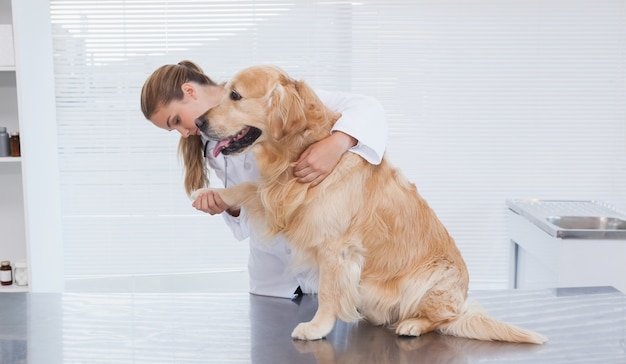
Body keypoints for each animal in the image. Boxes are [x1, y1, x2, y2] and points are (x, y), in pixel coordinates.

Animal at [190, 64, 544, 344]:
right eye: (225, 93)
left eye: (235, 96)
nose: (198, 122)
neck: (295, 151)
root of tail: (463, 299)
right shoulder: (278, 194)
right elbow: (250, 187)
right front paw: (210, 195)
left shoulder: (336, 247)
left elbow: (329, 292)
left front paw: (316, 328)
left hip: (430, 279)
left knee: (445, 320)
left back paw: (413, 324)